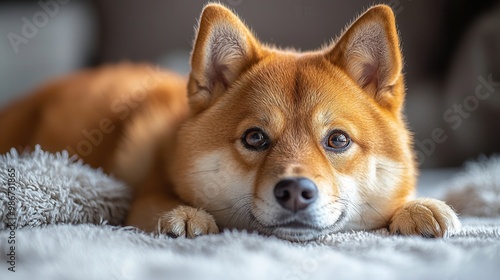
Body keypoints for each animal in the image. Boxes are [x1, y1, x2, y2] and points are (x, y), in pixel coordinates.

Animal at [0, 3, 460, 241]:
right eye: (255, 138)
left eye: (338, 140)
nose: (295, 192)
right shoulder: (144, 197)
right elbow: (158, 203)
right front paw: (186, 215)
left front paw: (419, 206)